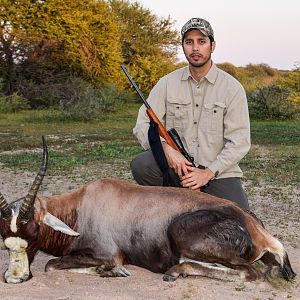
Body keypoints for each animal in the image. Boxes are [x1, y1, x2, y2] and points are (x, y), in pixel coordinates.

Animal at [0, 137, 296, 282]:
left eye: (33, 233)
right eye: (5, 240)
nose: (15, 279)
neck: (83, 204)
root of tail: (254, 227)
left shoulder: (106, 254)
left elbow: (51, 265)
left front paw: (115, 272)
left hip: (184, 237)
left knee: (249, 272)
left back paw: (174, 272)